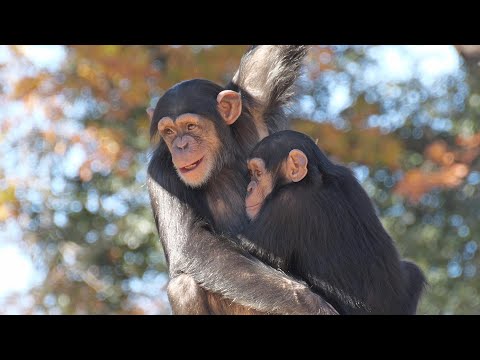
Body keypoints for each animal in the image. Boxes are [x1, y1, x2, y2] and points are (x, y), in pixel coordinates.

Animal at [148, 45, 340, 316]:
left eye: (191, 126)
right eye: (169, 131)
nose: (180, 145)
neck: (221, 160)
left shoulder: (255, 97)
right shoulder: (160, 172)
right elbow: (191, 242)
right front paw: (312, 304)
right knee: (183, 286)